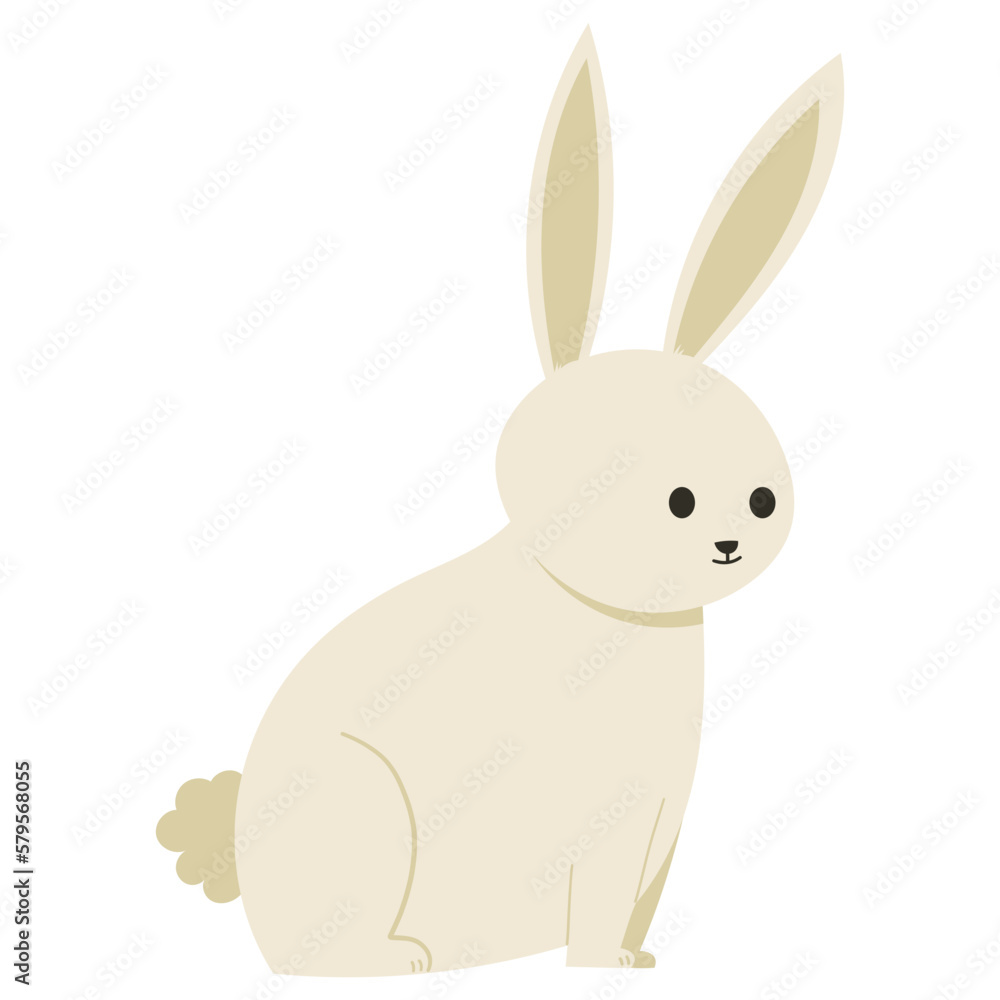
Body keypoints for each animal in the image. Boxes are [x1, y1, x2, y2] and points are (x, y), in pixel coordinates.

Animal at [157, 27, 843, 976]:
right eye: (676, 500)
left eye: (763, 498)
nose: (733, 540)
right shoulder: (608, 825)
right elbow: (598, 907)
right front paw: (598, 971)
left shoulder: (658, 828)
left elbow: (633, 912)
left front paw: (635, 965)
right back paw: (399, 960)